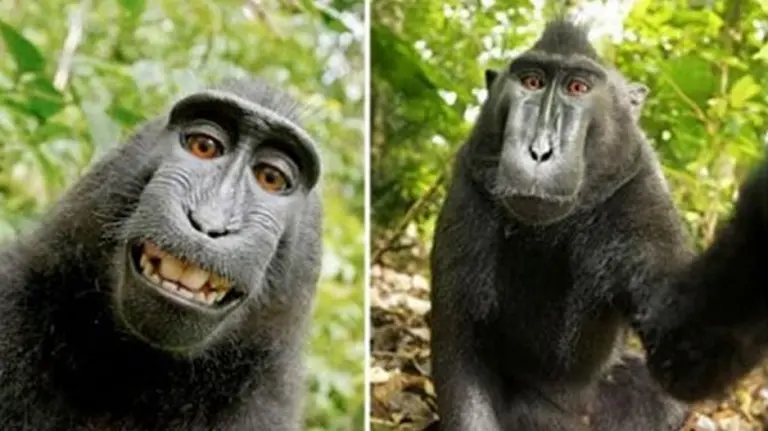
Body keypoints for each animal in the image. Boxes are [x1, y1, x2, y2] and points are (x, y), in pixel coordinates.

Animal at [429, 19, 768, 431]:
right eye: (532, 82)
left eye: (578, 88)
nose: (540, 152)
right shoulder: (469, 187)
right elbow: (460, 346)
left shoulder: (638, 188)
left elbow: (681, 349)